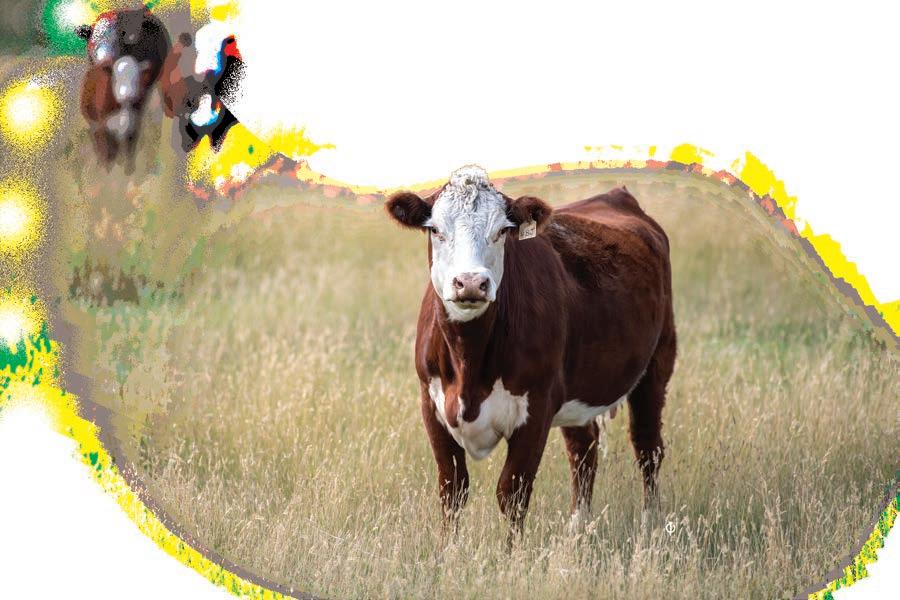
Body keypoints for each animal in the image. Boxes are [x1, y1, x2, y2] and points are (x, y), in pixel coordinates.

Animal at [385, 166, 677, 540]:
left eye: (502, 231)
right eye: (435, 229)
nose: (470, 282)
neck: (468, 363)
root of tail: (617, 195)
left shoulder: (537, 407)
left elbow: (512, 492)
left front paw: (511, 554)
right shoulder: (431, 403)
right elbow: (452, 489)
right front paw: (447, 551)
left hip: (658, 361)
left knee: (647, 447)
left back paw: (652, 524)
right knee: (584, 450)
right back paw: (577, 530)